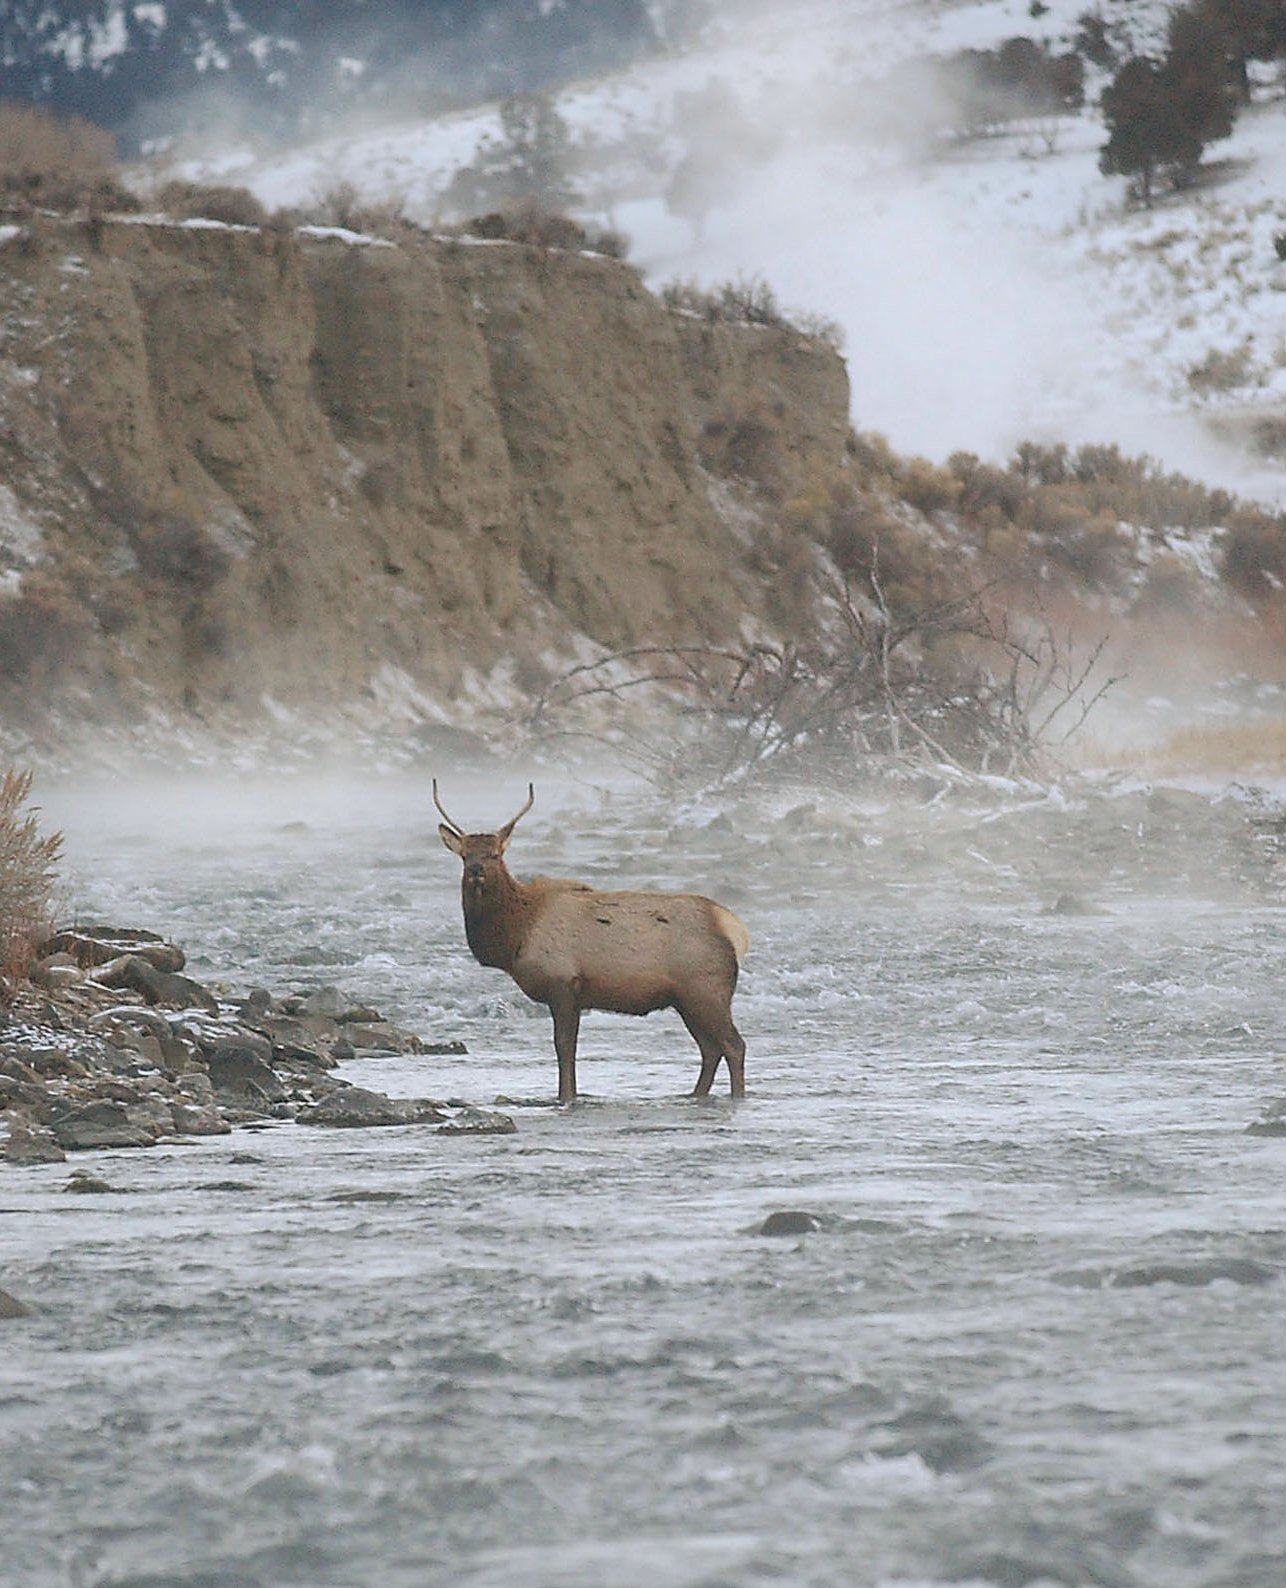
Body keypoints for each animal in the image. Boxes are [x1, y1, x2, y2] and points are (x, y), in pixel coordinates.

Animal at [435, 781, 746, 1105]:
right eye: (465, 855)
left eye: (495, 854)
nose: (476, 870)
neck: (517, 935)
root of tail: (733, 928)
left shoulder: (563, 984)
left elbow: (564, 1047)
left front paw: (566, 1097)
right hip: (686, 999)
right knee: (711, 1049)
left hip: (707, 991)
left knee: (734, 1046)